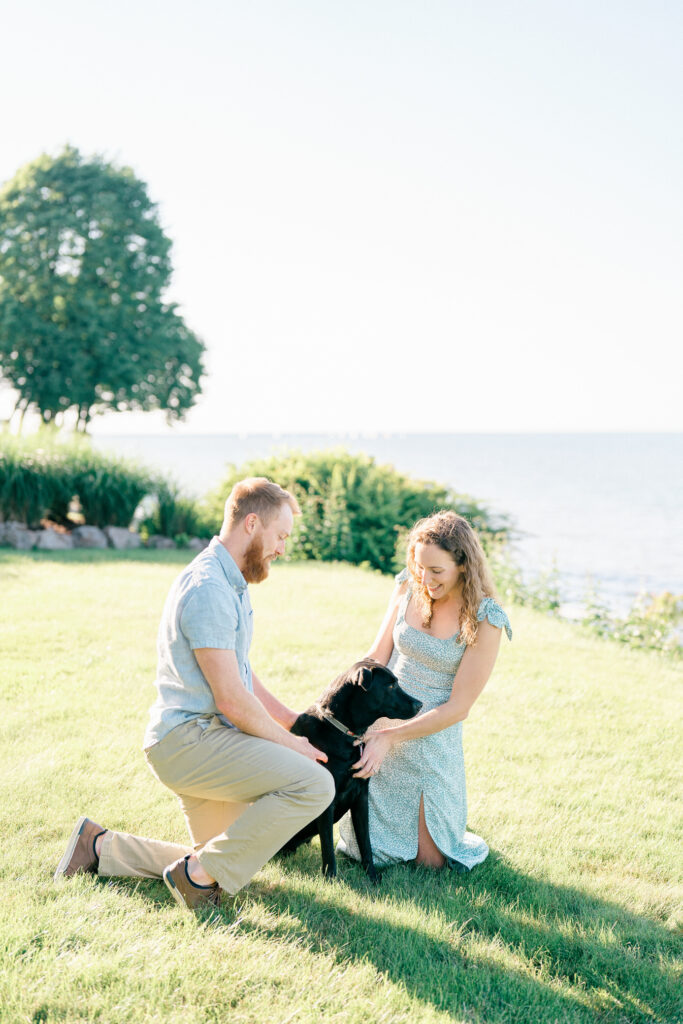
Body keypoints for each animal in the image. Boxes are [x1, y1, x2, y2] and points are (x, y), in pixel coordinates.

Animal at [278, 659, 421, 884]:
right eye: (390, 686)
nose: (420, 704)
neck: (344, 733)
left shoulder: (361, 797)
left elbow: (366, 843)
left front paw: (372, 877)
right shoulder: (328, 800)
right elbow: (328, 846)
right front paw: (330, 879)